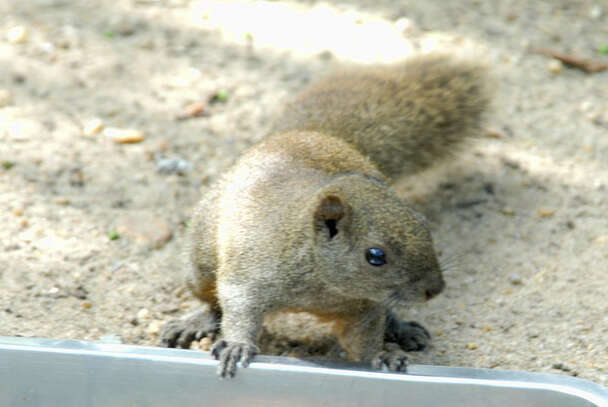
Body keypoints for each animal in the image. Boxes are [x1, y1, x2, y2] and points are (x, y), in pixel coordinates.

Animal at [163, 53, 494, 380]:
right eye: (375, 256)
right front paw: (237, 346)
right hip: (200, 264)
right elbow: (238, 308)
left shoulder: (364, 310)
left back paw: (400, 328)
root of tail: (305, 134)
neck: (323, 285)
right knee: (211, 299)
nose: (435, 288)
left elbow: (362, 342)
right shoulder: (249, 273)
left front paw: (383, 356)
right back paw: (194, 322)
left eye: (424, 226)